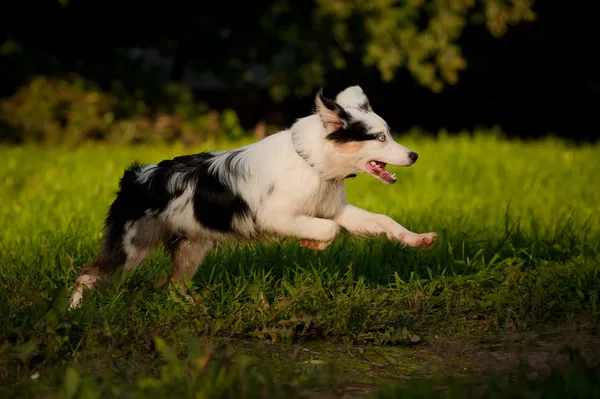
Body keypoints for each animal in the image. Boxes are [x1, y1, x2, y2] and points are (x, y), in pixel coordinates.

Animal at [69, 85, 436, 310]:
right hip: (131, 249)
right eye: (379, 138)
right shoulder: (276, 216)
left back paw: (194, 311)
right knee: (90, 272)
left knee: (173, 286)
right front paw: (312, 244)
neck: (314, 164)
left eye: (389, 135)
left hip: (191, 247)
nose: (416, 155)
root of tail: (136, 176)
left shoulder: (335, 209)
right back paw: (74, 310)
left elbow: (383, 221)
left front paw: (418, 239)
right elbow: (329, 230)